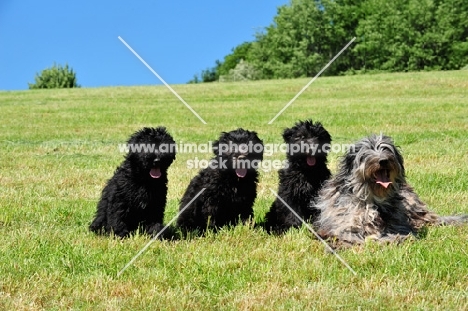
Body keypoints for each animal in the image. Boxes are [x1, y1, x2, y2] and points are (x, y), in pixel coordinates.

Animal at [312, 135, 466, 247]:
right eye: (365, 153)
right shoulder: (343, 227)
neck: (374, 200)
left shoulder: (399, 223)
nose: (383, 160)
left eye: (386, 149)